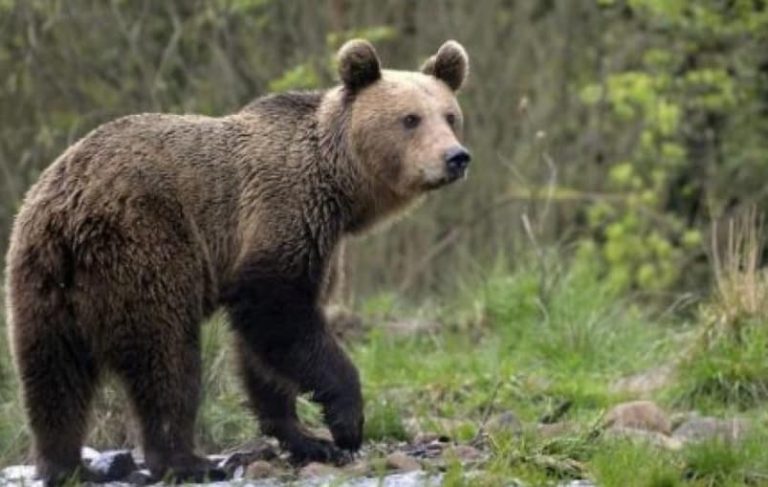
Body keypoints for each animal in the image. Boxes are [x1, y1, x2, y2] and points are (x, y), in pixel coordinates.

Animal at [6, 39, 472, 484]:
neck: (340, 187)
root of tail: (70, 210)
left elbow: (264, 351)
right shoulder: (283, 214)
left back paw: (65, 466)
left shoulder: (322, 242)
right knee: (166, 356)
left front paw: (307, 438)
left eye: (450, 116)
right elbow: (277, 313)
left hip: (40, 278)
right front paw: (345, 424)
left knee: (53, 376)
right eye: (410, 119)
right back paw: (186, 461)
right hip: (144, 245)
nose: (456, 157)